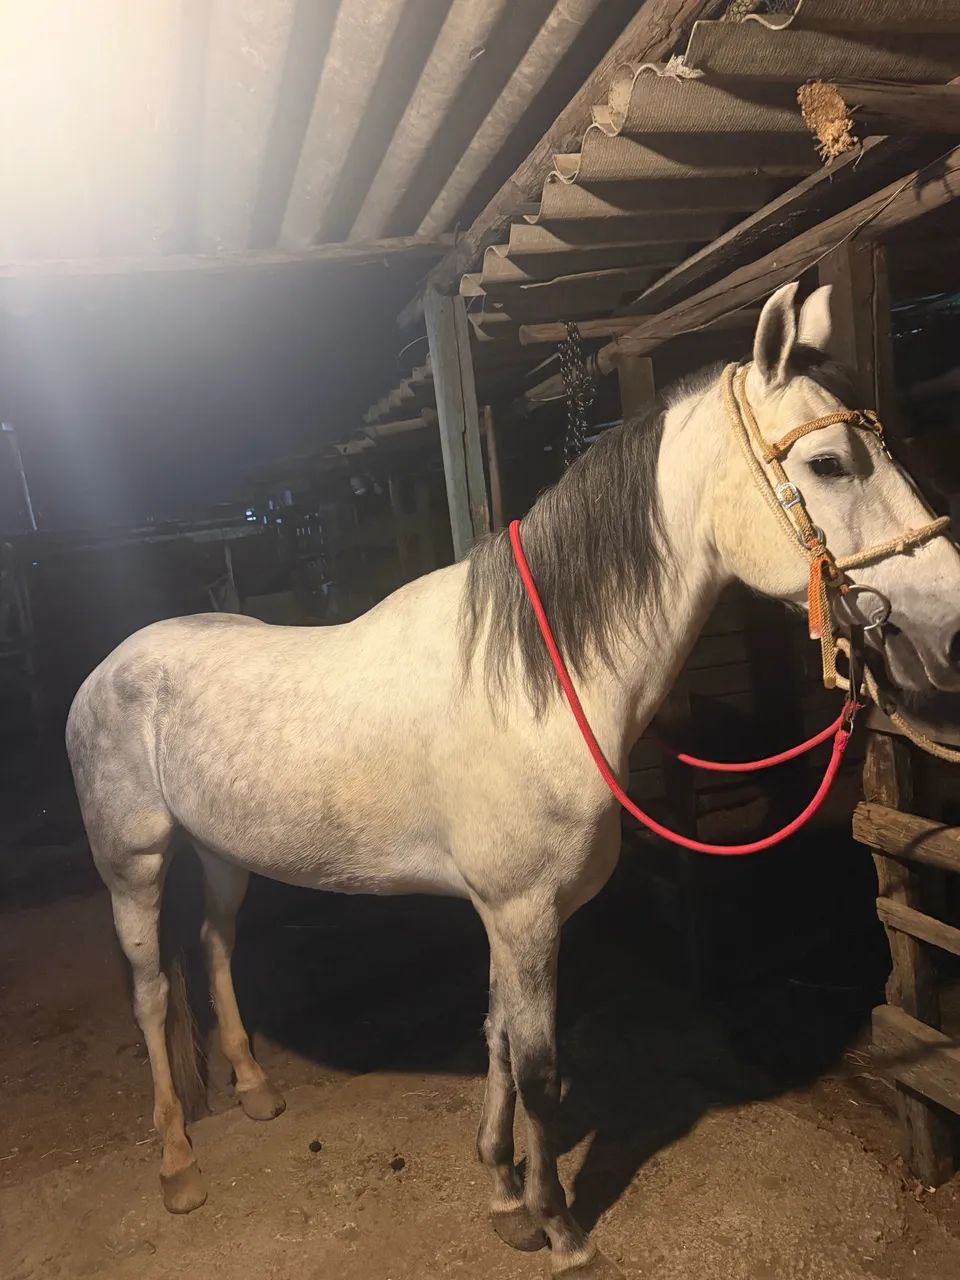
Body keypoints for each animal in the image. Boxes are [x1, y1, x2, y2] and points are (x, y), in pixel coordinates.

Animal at [66, 283, 960, 1278]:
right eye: (830, 462)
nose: (950, 624)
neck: (540, 680)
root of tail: (106, 668)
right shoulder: (524, 911)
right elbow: (536, 1066)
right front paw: (558, 1223)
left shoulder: (509, 913)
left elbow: (496, 1034)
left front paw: (501, 1189)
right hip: (134, 865)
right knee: (151, 991)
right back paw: (179, 1162)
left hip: (223, 853)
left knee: (217, 946)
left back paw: (256, 1086)